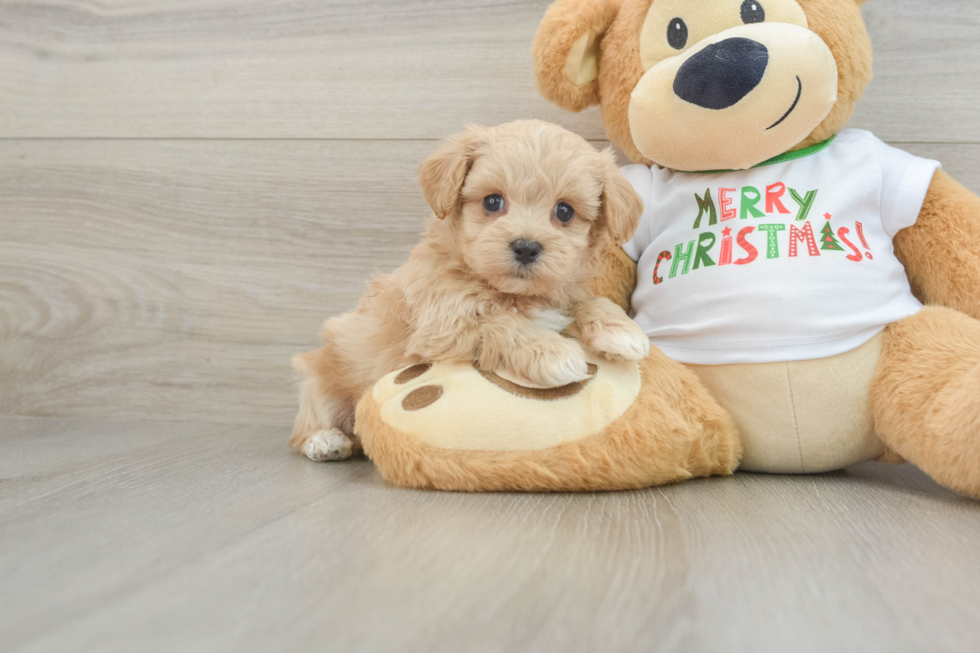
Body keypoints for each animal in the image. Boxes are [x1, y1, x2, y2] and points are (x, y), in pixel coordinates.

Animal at [294, 119, 656, 460]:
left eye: (564, 211)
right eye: (492, 202)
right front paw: (554, 353)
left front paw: (621, 330)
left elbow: (588, 301)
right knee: (305, 428)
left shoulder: (563, 292)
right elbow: (500, 324)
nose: (526, 247)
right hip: (320, 382)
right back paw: (325, 441)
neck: (512, 292)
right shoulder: (441, 326)